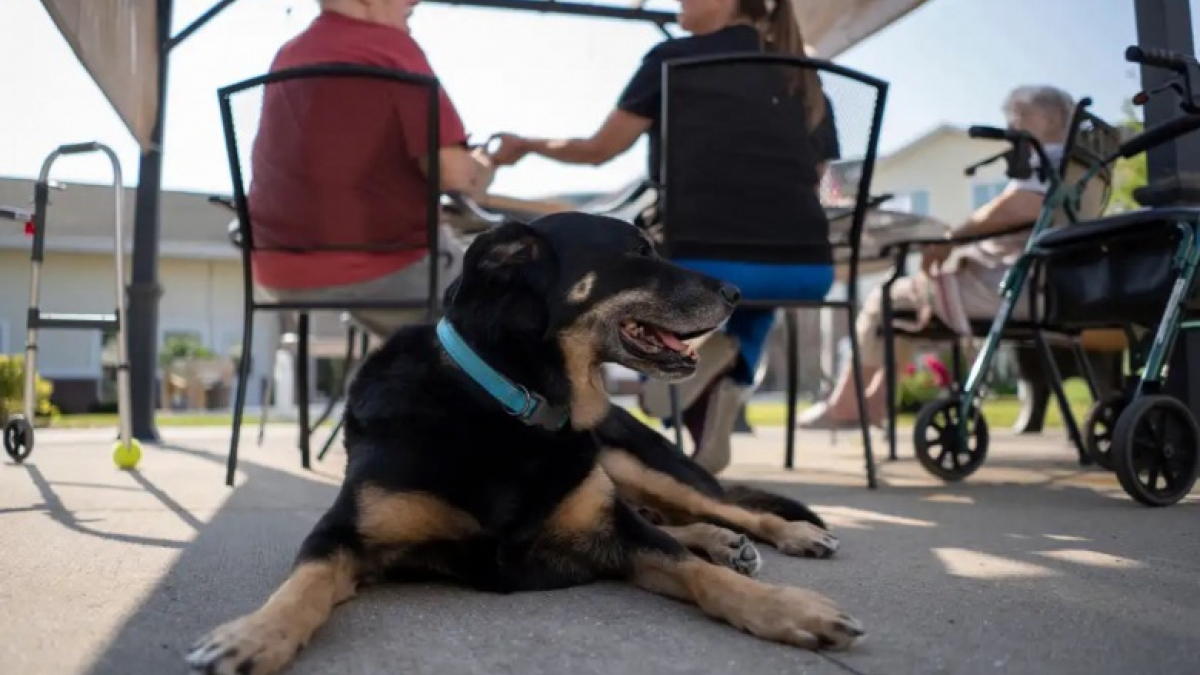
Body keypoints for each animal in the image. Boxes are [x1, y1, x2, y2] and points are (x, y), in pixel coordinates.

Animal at [187, 211, 864, 672]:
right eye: (638, 252)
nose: (737, 295)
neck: (509, 400)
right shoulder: (342, 534)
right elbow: (302, 586)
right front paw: (253, 634)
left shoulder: (614, 531)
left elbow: (703, 576)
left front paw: (792, 609)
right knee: (689, 519)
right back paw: (725, 543)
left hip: (632, 460)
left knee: (725, 506)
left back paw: (785, 535)